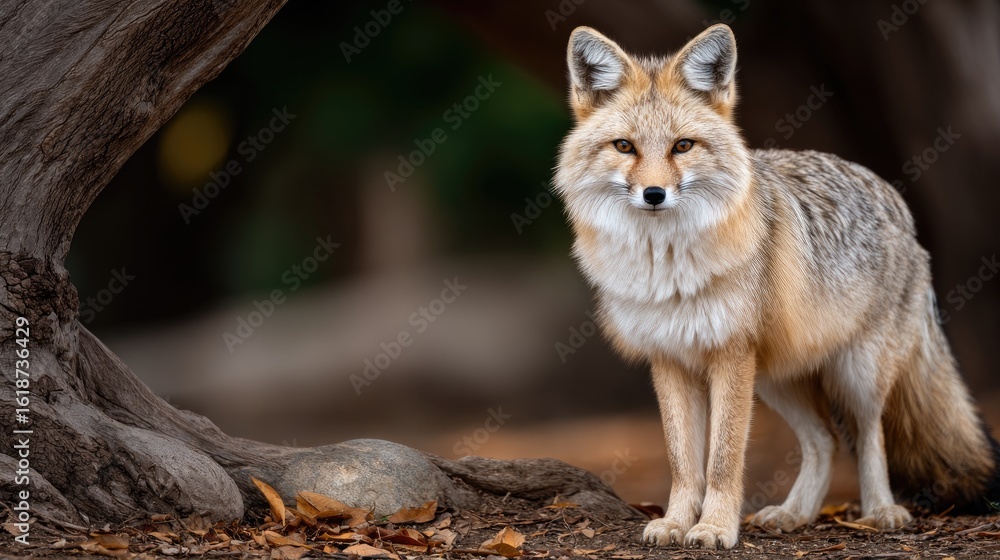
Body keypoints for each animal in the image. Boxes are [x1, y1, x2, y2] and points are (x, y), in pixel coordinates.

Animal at [554, 24, 1000, 549]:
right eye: (625, 147)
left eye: (682, 146)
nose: (654, 194)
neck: (667, 270)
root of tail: (892, 196)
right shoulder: (669, 359)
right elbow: (683, 461)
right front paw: (678, 522)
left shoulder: (731, 355)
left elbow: (723, 459)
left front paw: (714, 528)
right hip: (778, 381)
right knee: (824, 441)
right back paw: (794, 514)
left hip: (856, 374)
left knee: (870, 436)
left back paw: (881, 510)